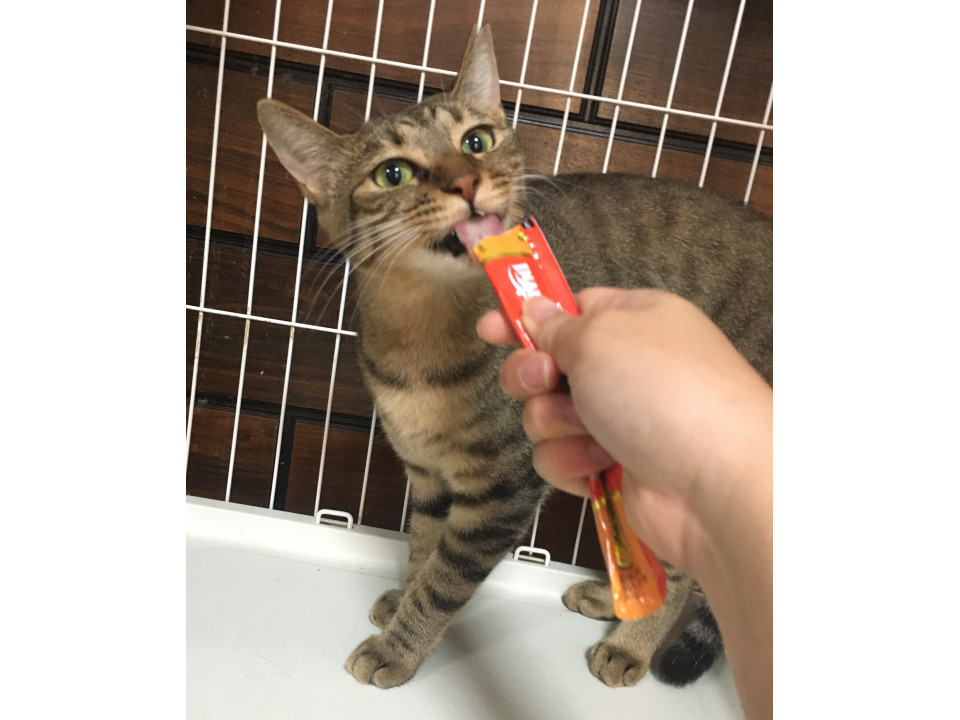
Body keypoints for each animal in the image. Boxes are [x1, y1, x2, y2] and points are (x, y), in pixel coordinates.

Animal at [256, 25, 772, 690]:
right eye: (392, 174)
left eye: (476, 141)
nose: (464, 181)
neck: (420, 336)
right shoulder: (427, 474)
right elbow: (422, 545)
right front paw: (402, 598)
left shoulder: (503, 489)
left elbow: (444, 579)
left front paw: (398, 647)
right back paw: (613, 598)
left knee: (685, 572)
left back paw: (630, 645)